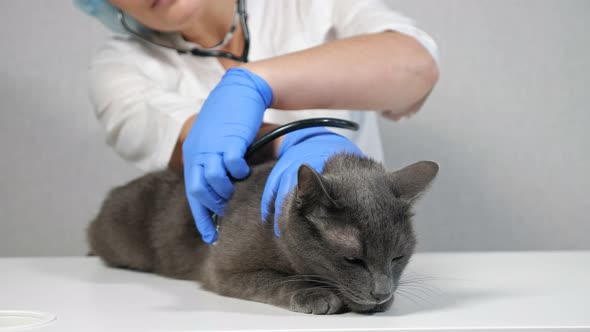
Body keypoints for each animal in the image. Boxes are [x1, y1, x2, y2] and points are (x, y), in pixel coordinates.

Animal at [89, 153, 440, 314]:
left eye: (398, 257)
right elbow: (276, 279)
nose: (382, 292)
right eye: (352, 259)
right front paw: (316, 295)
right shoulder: (223, 269)